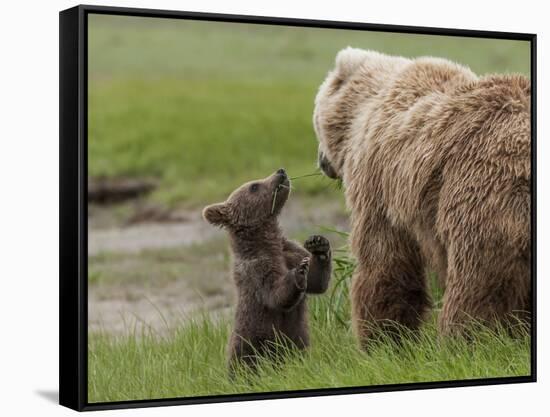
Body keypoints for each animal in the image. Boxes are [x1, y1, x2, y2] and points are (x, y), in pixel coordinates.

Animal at [314, 47, 536, 346]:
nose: (321, 161)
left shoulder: (378, 182)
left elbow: (384, 260)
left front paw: (382, 338)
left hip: (483, 193)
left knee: (478, 283)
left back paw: (466, 339)